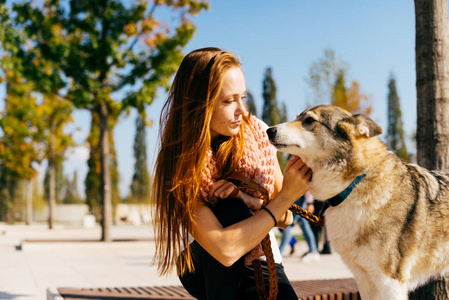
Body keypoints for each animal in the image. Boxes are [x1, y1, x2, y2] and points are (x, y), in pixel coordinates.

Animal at [268, 104, 448, 298]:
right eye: (296, 117)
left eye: (309, 120)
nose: (269, 130)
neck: (354, 185)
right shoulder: (365, 280)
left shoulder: (390, 282)